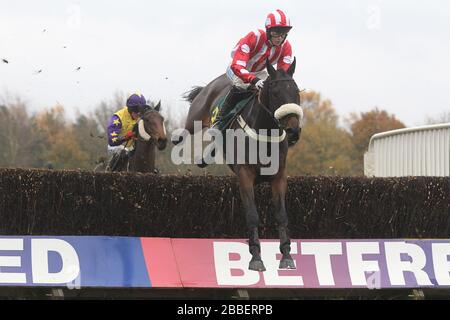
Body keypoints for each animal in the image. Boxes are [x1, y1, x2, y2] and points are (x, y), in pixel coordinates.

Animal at [180, 59, 302, 270]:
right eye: (276, 92)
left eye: (296, 92)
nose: (293, 130)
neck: (265, 134)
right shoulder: (245, 175)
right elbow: (252, 215)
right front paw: (256, 258)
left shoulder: (279, 177)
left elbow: (281, 215)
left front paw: (287, 255)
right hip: (195, 116)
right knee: (184, 130)